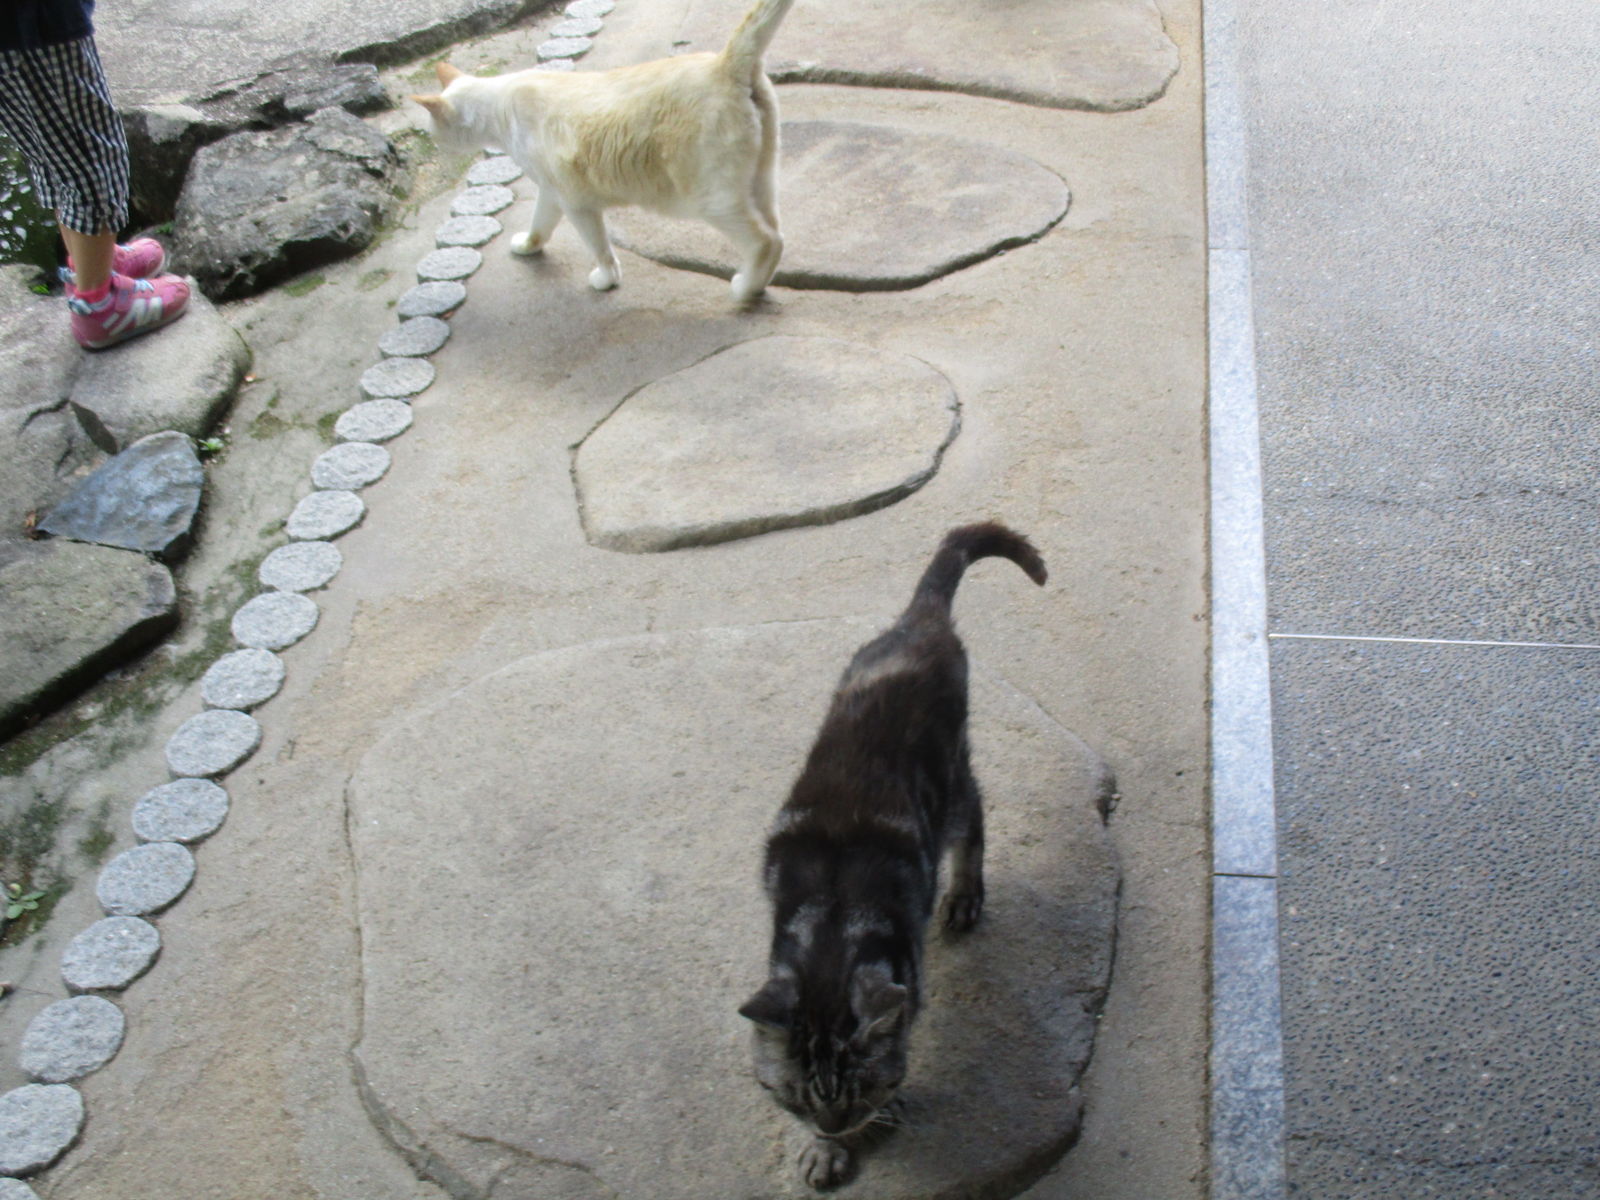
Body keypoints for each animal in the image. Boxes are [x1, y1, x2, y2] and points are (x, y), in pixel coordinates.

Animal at [412, 0, 793, 304]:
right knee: (777, 232)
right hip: (761, 182)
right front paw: (529, 245)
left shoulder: (577, 203)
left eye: (431, 130)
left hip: (712, 199)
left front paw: (606, 280)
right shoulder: (551, 192)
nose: (435, 144)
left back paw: (744, 289)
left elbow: (599, 247)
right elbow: (540, 224)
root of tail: (724, 63)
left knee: (766, 241)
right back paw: (759, 284)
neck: (502, 104)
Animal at [739, 523, 1048, 1190]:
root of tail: (918, 622)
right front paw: (824, 1150)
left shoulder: (908, 985)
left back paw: (964, 895)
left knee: (975, 819)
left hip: (952, 784)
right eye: (797, 1099)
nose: (833, 1126)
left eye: (857, 1092)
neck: (830, 932)